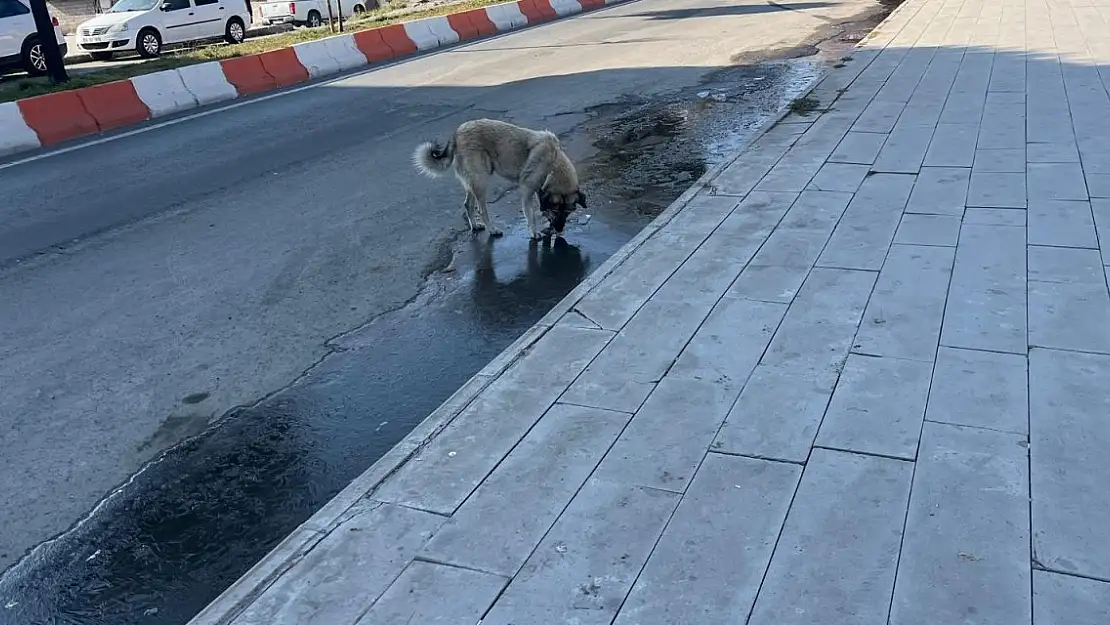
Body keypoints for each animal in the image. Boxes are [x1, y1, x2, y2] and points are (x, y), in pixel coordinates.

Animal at [415, 119, 590, 239]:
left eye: (568, 212)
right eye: (556, 210)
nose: (559, 230)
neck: (552, 163)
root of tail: (457, 133)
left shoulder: (539, 191)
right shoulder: (526, 191)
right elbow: (531, 214)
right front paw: (534, 232)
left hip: (472, 182)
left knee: (467, 204)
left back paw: (475, 226)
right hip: (480, 180)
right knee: (481, 209)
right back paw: (492, 230)